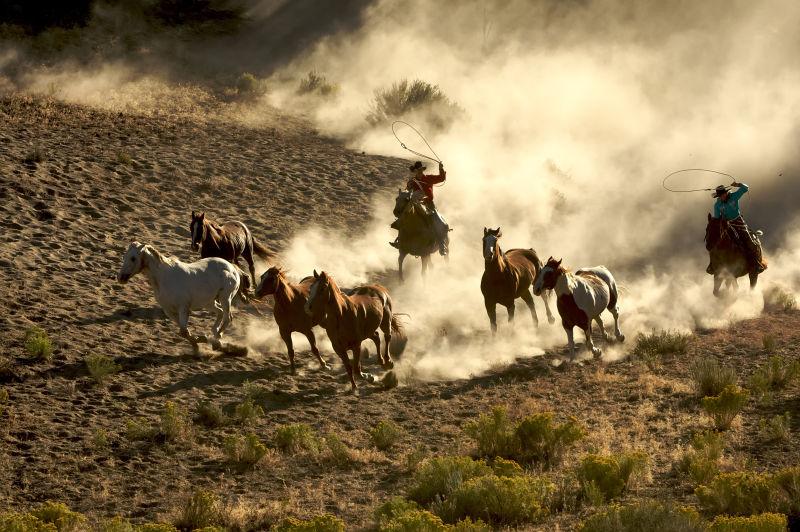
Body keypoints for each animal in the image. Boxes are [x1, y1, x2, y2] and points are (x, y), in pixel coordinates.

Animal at [116, 242, 244, 354]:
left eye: (133, 258)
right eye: (124, 256)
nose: (121, 277)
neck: (164, 278)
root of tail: (231, 267)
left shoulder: (183, 308)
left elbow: (183, 331)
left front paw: (199, 342)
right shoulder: (169, 311)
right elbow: (183, 332)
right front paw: (198, 343)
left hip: (225, 298)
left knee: (228, 317)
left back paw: (217, 338)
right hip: (209, 302)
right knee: (220, 312)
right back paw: (215, 337)